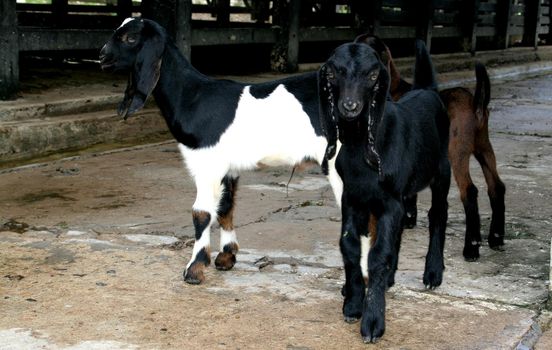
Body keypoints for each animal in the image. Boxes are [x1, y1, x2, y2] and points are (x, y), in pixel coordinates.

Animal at [97, 17, 342, 284]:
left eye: (130, 38)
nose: (102, 56)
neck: (193, 97)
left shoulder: (207, 163)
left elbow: (201, 213)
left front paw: (194, 269)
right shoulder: (228, 168)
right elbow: (225, 208)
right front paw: (226, 257)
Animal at [316, 38, 450, 342]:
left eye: (373, 75)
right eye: (333, 72)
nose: (350, 106)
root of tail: (427, 90)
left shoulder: (389, 202)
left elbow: (377, 255)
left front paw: (373, 320)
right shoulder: (352, 198)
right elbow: (350, 246)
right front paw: (353, 303)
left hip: (442, 170)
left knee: (438, 214)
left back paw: (433, 273)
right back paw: (390, 279)